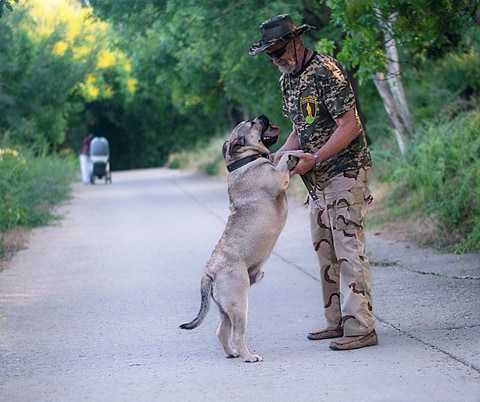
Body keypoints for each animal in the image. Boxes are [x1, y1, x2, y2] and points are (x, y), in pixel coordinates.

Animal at [180, 114, 300, 362]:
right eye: (253, 123)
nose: (262, 116)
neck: (244, 159)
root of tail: (210, 272)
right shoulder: (278, 178)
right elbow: (281, 161)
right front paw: (291, 155)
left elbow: (276, 155)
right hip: (239, 304)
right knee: (237, 334)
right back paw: (248, 356)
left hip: (226, 309)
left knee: (222, 331)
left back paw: (232, 354)